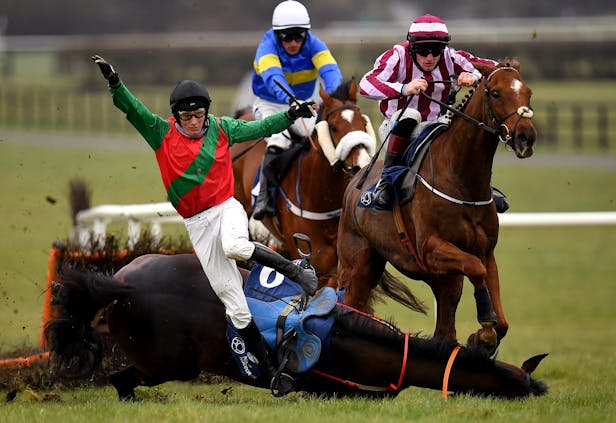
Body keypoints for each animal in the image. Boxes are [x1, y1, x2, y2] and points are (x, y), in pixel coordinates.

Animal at [44, 253, 548, 402]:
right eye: (525, 386)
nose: (540, 394)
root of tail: (123, 285)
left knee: (120, 380)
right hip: (165, 364)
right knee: (122, 379)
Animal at [334, 59, 536, 354]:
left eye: (528, 93)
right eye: (496, 93)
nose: (526, 137)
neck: (462, 182)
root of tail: (354, 180)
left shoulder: (485, 252)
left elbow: (501, 318)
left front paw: (483, 336)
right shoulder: (430, 249)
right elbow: (476, 269)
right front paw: (484, 331)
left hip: (441, 280)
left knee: (445, 329)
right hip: (357, 265)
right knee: (346, 305)